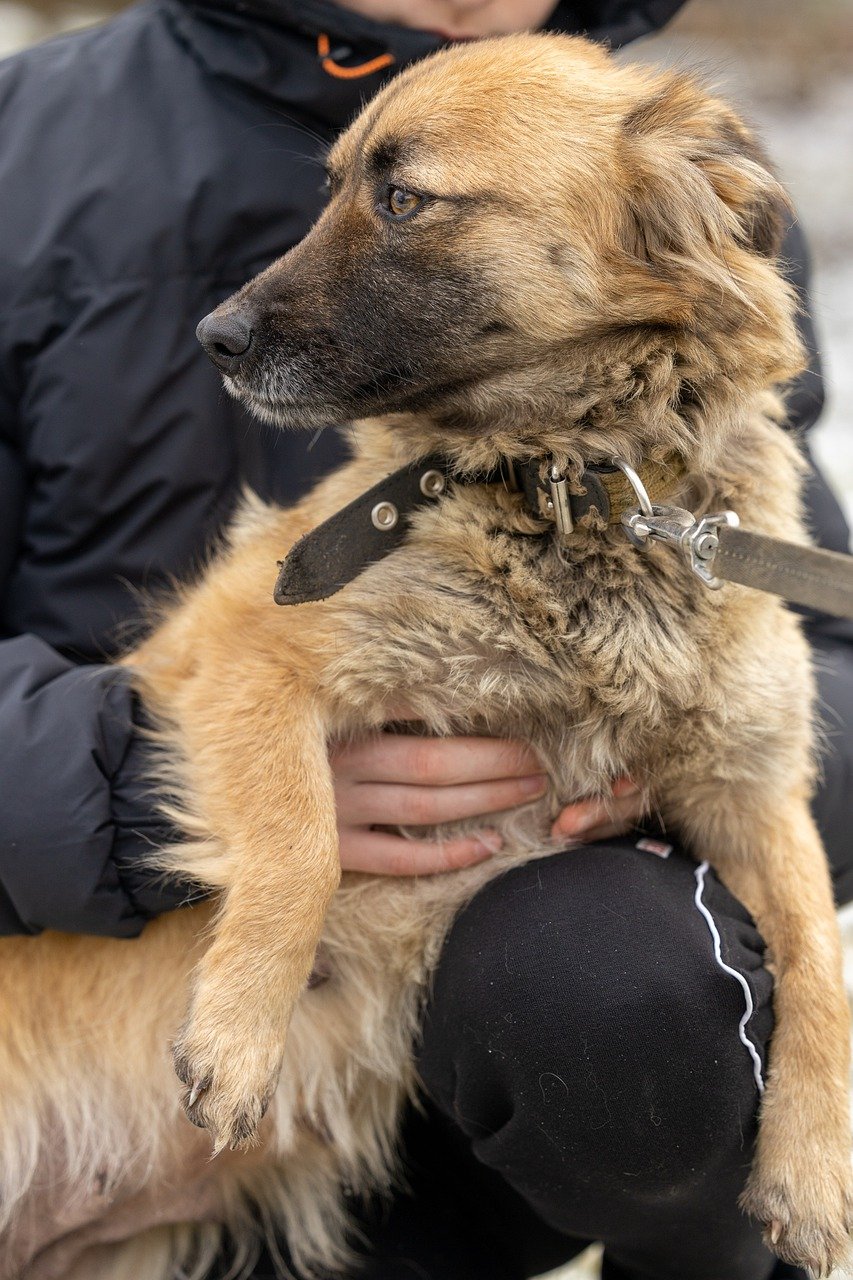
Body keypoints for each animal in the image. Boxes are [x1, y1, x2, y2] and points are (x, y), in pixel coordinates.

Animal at [1, 27, 850, 1280]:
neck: (577, 492)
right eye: (336, 188)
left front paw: (814, 1162)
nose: (214, 339)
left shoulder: (754, 785)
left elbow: (817, 961)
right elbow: (300, 840)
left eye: (403, 200)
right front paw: (236, 1037)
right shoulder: (244, 661)